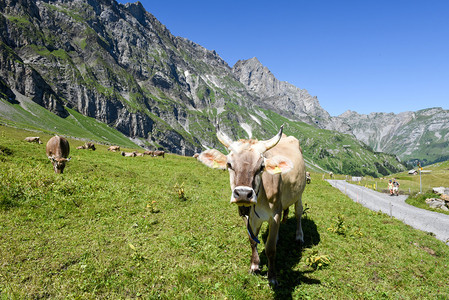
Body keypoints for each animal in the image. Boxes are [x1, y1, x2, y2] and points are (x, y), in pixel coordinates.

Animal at [198, 125, 306, 286]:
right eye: (229, 164)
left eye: (262, 166)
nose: (243, 194)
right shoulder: (247, 216)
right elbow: (252, 241)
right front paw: (254, 265)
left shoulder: (275, 214)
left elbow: (270, 248)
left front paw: (272, 277)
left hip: (299, 193)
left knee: (298, 213)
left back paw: (299, 236)